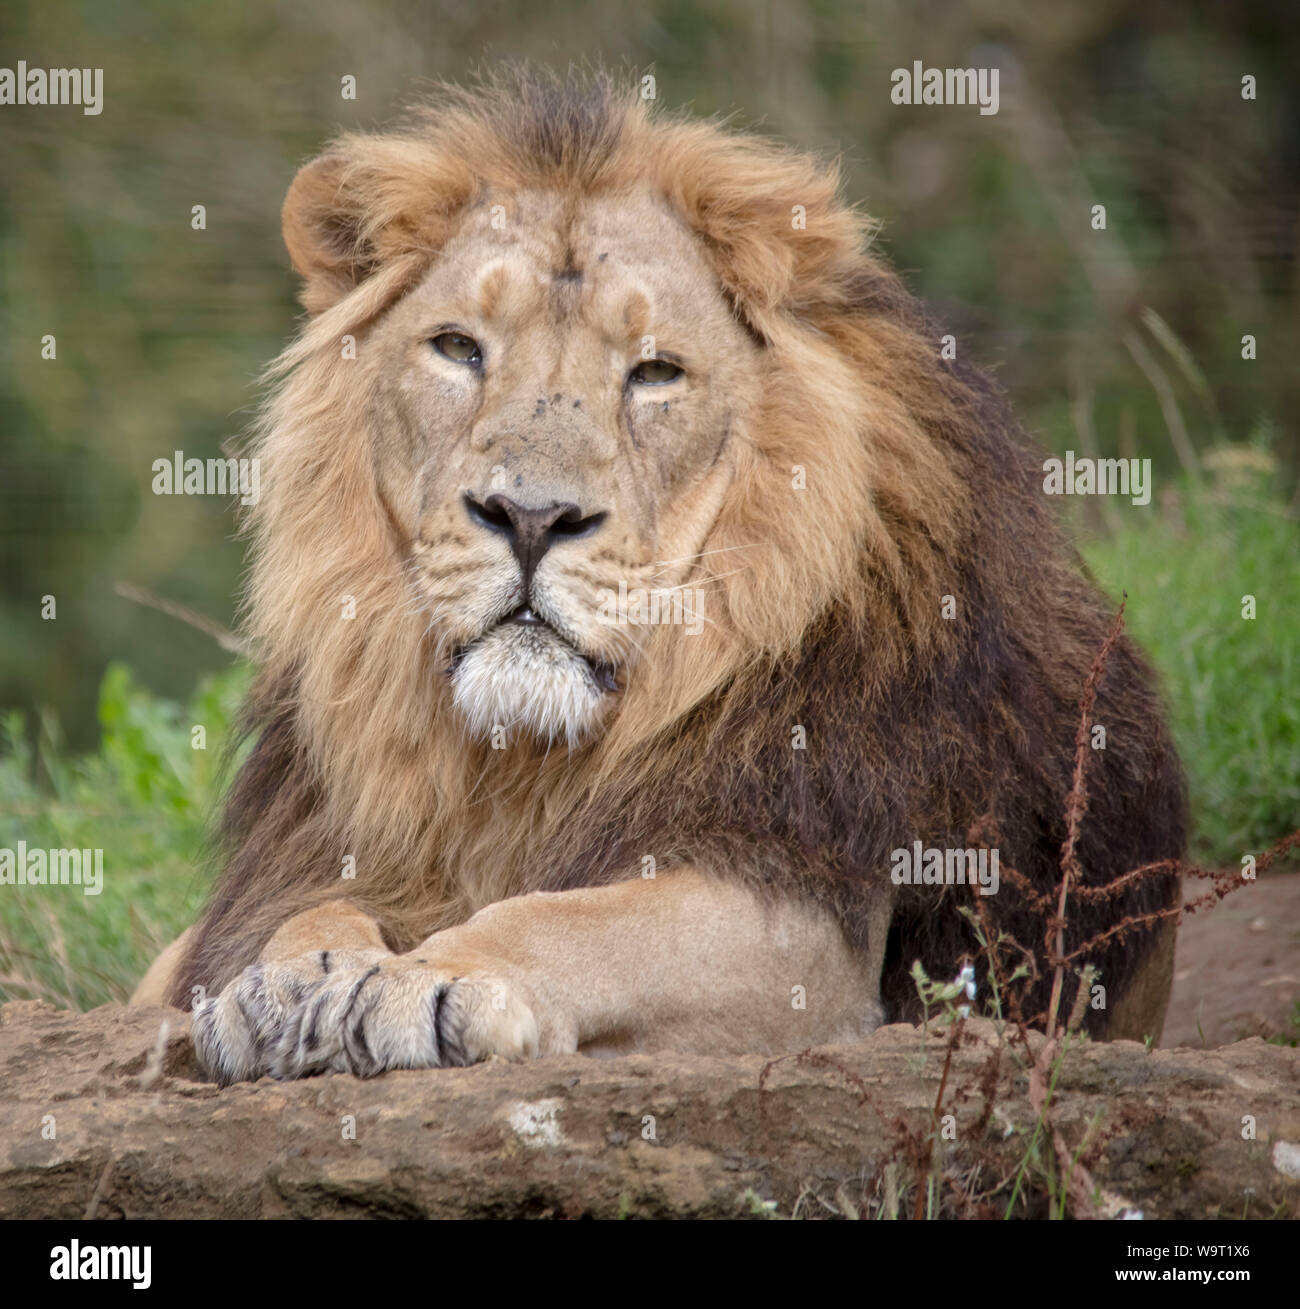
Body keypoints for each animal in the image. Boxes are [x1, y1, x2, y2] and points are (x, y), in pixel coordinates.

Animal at [134, 63, 1188, 1083]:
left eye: (654, 373)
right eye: (458, 349)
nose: (530, 517)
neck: (514, 767)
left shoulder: (808, 917)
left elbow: (581, 916)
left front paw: (431, 976)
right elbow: (300, 911)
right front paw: (284, 981)